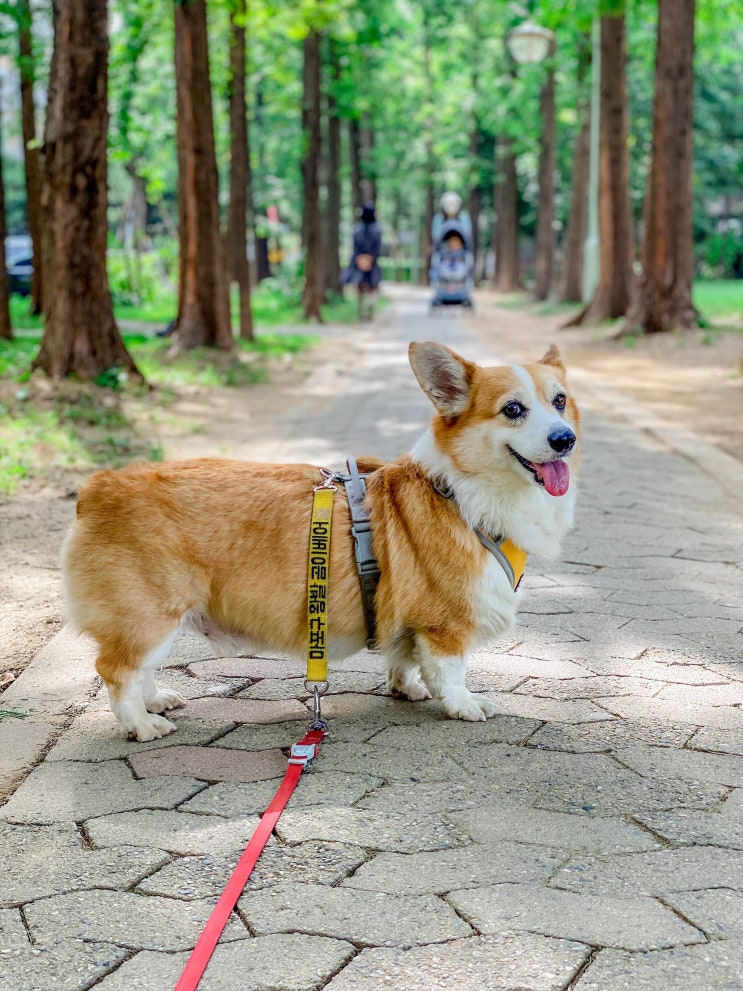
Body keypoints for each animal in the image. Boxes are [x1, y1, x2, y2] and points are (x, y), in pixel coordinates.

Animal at [62, 344, 580, 740]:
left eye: (560, 401)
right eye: (512, 410)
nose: (565, 439)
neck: (460, 491)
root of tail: (97, 488)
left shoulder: (409, 623)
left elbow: (405, 658)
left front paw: (405, 687)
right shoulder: (445, 625)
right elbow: (448, 670)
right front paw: (463, 704)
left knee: (140, 669)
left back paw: (157, 702)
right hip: (152, 616)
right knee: (117, 670)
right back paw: (141, 724)